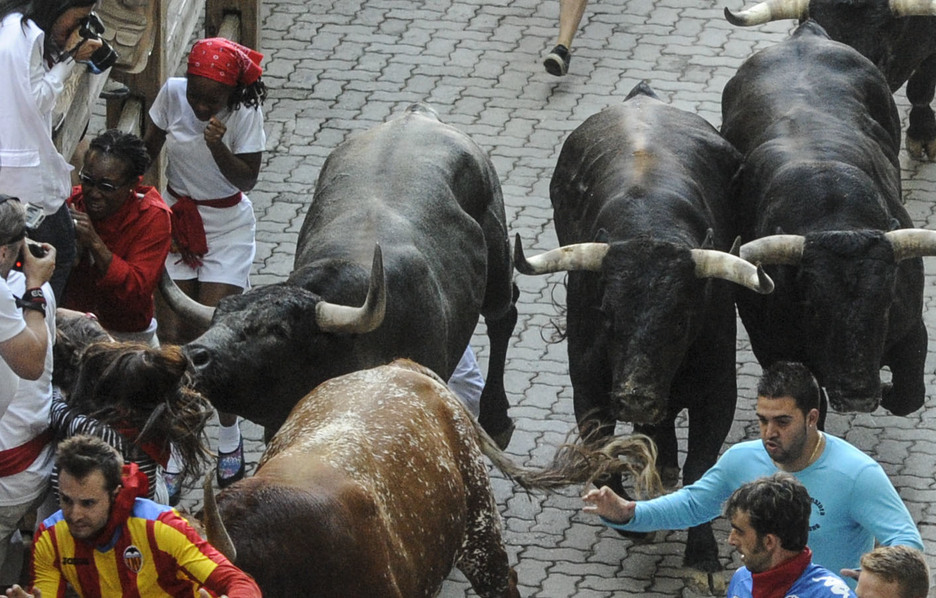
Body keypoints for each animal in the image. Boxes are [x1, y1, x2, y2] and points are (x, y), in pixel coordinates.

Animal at [169, 104, 520, 446]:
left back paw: (497, 417)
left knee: (504, 315)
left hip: (497, 262)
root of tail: (419, 114)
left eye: (278, 330)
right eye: (217, 318)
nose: (194, 356)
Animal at [516, 82, 772, 576]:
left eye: (682, 318)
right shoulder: (589, 386)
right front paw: (628, 519)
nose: (635, 394)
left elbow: (701, 469)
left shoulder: (717, 392)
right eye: (606, 312)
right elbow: (601, 453)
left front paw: (702, 556)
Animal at [720, 22, 936, 418]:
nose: (857, 395)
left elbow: (909, 395)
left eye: (885, 302)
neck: (835, 214)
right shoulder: (772, 347)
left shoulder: (912, 329)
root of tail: (805, 35)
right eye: (814, 307)